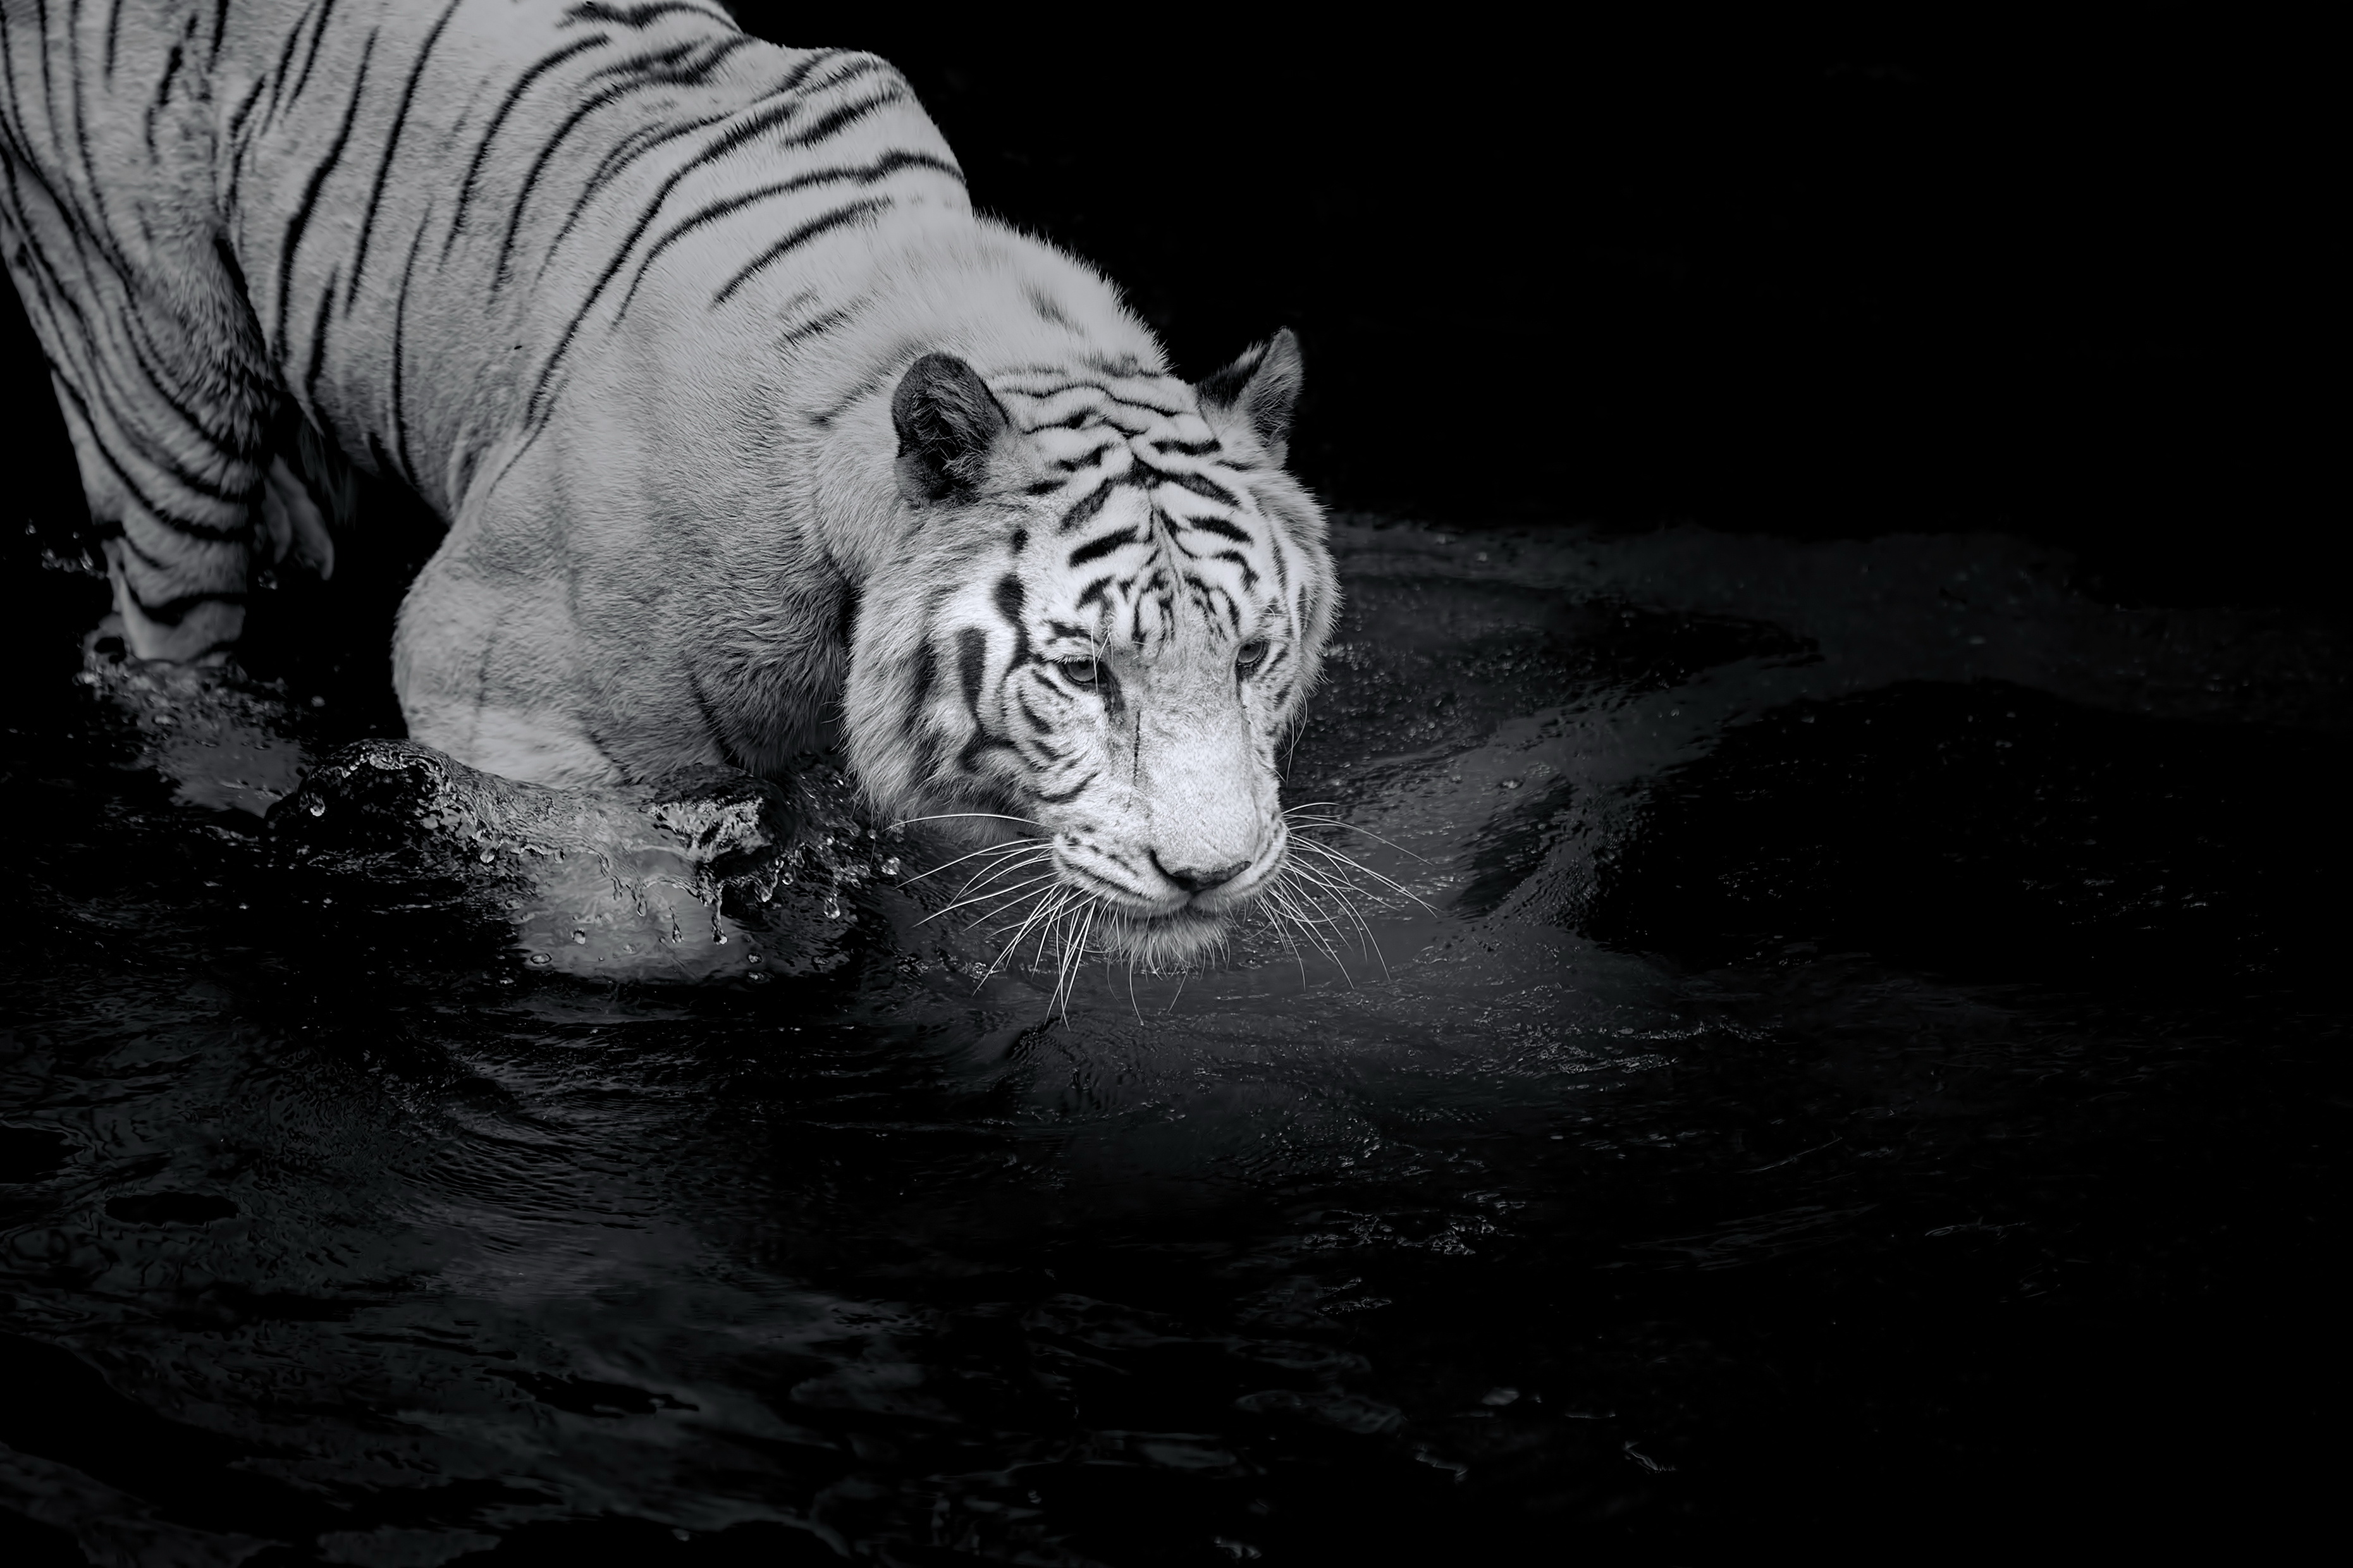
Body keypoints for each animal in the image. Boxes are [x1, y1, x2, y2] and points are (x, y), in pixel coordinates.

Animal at [0, 0, 1336, 968]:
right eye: (1083, 672)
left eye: (1254, 655)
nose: (1210, 876)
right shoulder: (497, 697)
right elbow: (647, 938)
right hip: (159, 375)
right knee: (176, 655)